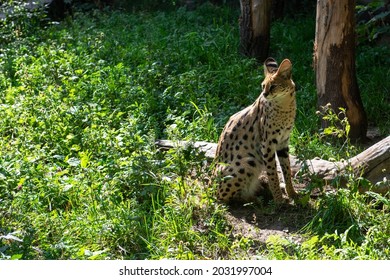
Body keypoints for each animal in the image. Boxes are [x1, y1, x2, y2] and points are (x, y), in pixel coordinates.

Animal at [213, 58, 298, 205]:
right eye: (263, 86)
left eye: (273, 86)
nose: (264, 94)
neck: (285, 105)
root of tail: (209, 188)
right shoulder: (267, 143)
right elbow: (273, 173)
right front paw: (279, 200)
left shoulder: (283, 142)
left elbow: (286, 169)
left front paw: (292, 193)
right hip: (247, 161)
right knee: (223, 198)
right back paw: (256, 198)